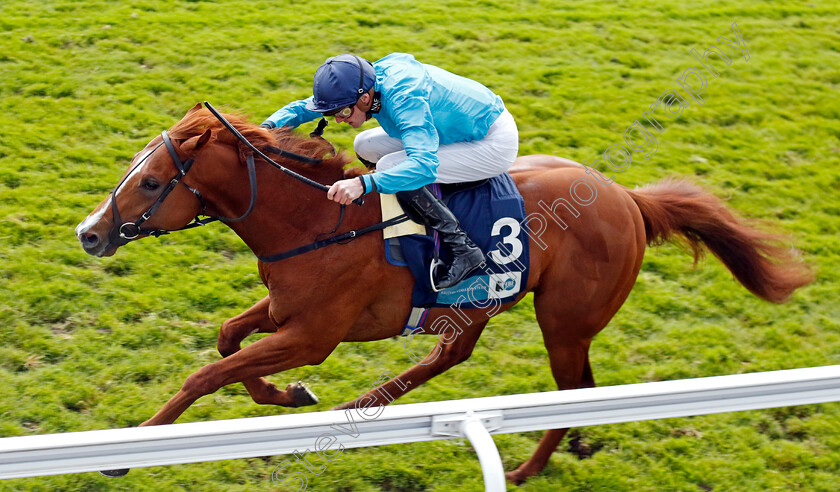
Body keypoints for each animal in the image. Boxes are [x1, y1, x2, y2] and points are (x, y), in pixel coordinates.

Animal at [75, 104, 812, 484]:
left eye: (151, 182)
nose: (89, 233)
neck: (317, 223)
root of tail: (627, 199)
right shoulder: (287, 313)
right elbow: (229, 341)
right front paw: (290, 396)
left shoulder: (311, 336)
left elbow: (207, 373)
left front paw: (130, 450)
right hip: (479, 305)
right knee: (453, 357)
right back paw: (358, 408)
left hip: (564, 320)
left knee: (571, 387)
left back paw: (525, 465)